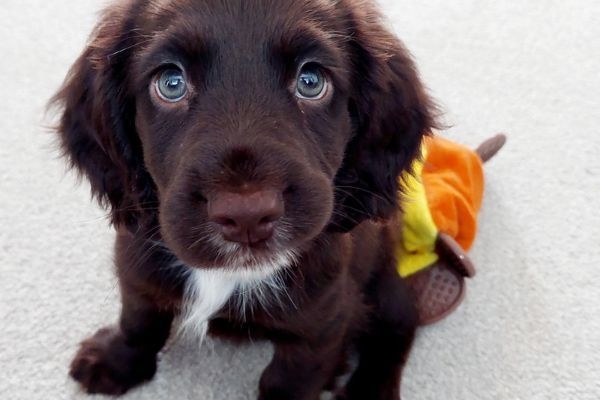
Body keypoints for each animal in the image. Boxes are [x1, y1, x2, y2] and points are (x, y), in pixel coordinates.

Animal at [51, 0, 436, 396]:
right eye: (171, 84)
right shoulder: (136, 262)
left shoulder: (324, 320)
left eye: (311, 82)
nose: (246, 216)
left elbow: (288, 381)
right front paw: (117, 360)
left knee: (397, 329)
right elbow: (138, 319)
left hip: (385, 286)